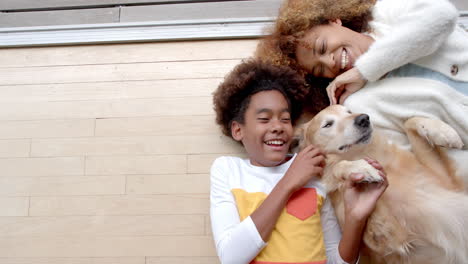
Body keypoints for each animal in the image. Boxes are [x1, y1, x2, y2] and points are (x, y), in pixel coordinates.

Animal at [296, 105, 468, 264]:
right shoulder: (388, 239)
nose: (364, 119)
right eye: (327, 124)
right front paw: (361, 168)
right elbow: (338, 167)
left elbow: (409, 121)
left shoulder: (445, 181)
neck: (363, 153)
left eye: (349, 112)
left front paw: (445, 132)